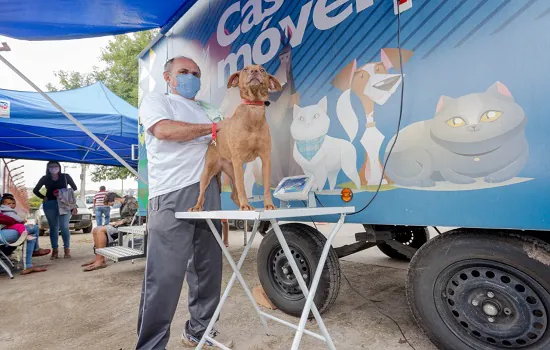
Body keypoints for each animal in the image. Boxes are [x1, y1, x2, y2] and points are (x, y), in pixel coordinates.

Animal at [191, 64, 284, 212]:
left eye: (262, 70)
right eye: (245, 69)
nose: (254, 71)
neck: (253, 110)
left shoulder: (265, 158)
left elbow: (266, 186)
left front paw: (268, 204)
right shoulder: (238, 159)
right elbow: (242, 187)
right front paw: (245, 205)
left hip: (233, 171)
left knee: (234, 194)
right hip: (209, 171)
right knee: (203, 192)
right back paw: (197, 207)